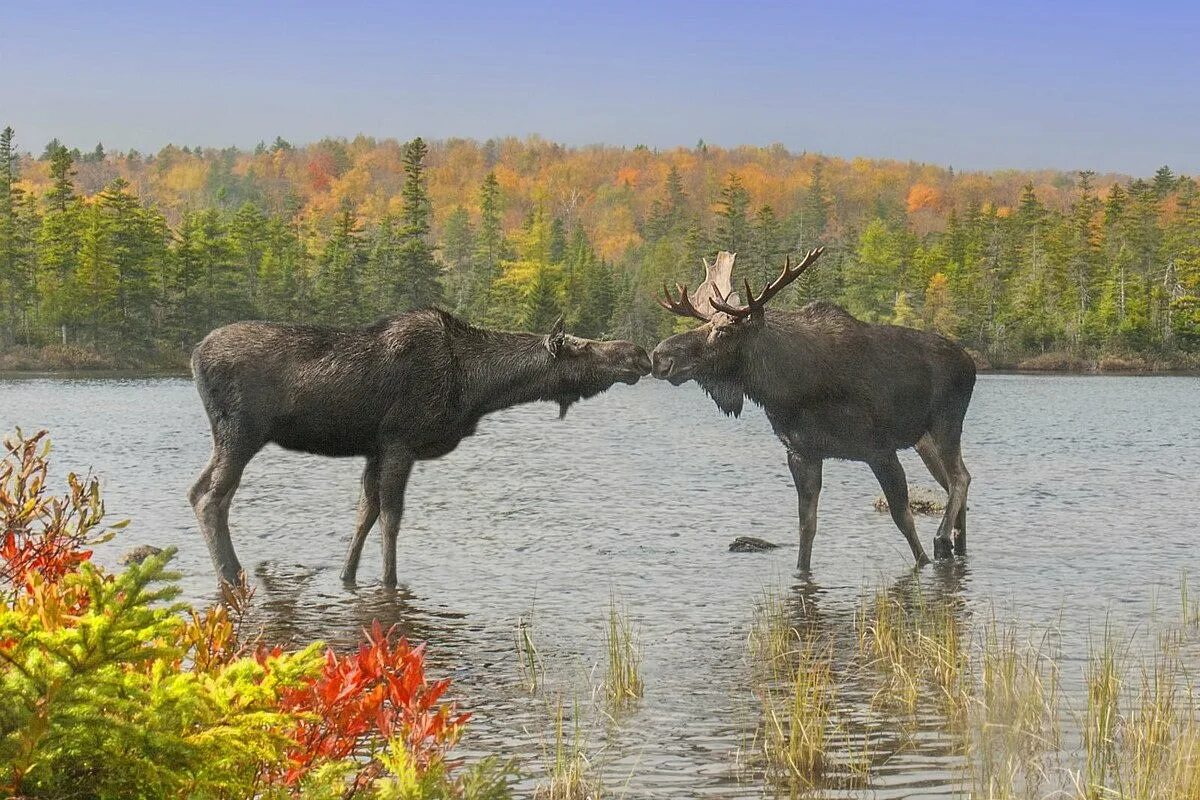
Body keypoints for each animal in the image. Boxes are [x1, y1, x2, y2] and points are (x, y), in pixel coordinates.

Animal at [657, 250, 974, 568]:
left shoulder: (880, 450)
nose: (660, 356)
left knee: (960, 478)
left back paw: (942, 539)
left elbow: (904, 519)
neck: (788, 388)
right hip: (923, 441)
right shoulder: (802, 453)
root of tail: (970, 362)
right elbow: (806, 528)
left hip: (946, 423)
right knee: (954, 482)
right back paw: (957, 543)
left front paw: (924, 560)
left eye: (723, 330)